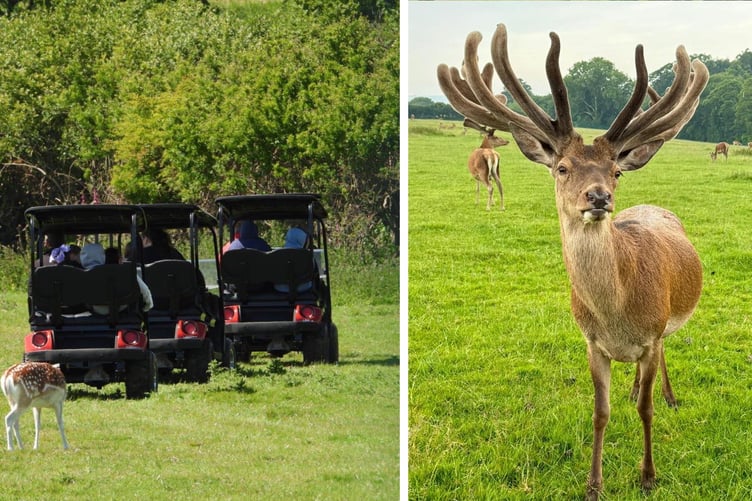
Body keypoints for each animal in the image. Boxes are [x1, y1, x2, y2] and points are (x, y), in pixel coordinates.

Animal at [438, 23, 707, 499]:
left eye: (615, 172)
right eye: (562, 167)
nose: (598, 197)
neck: (616, 315)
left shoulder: (652, 335)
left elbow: (647, 410)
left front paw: (648, 475)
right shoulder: (591, 343)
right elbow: (601, 412)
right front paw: (593, 484)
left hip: (667, 325)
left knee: (662, 364)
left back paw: (670, 395)